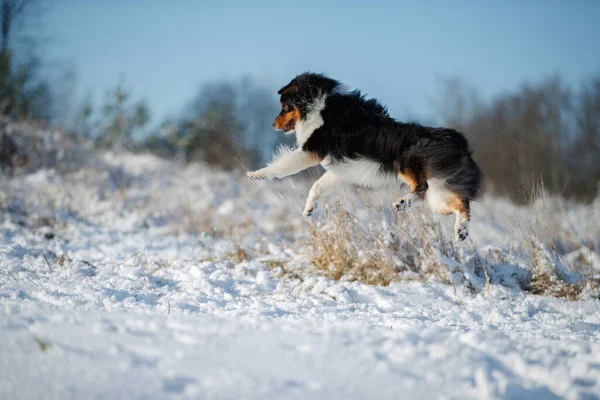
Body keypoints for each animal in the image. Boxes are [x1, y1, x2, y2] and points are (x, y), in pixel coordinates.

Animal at [248, 72, 482, 241]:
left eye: (284, 107)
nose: (272, 124)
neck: (320, 106)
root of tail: (458, 140)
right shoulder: (340, 171)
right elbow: (316, 187)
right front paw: (309, 209)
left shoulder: (310, 151)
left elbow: (283, 166)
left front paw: (257, 175)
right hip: (440, 192)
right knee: (462, 205)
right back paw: (461, 232)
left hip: (407, 162)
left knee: (422, 188)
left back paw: (403, 202)